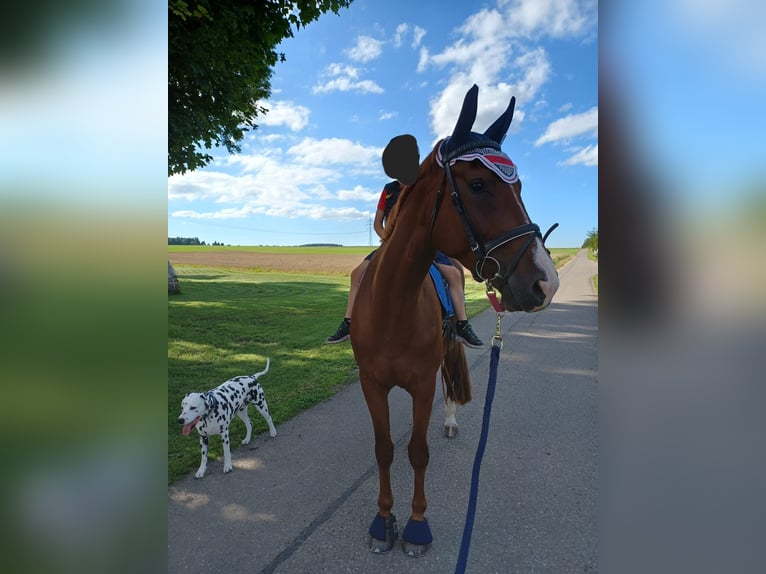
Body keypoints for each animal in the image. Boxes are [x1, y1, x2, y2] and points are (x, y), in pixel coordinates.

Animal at [352, 85, 560, 560]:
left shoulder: (422, 383)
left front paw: (416, 525)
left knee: (449, 384)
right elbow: (384, 449)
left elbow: (418, 450)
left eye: (520, 186)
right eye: (478, 184)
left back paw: (448, 421)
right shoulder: (371, 384)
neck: (392, 304)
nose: (547, 281)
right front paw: (383, 520)